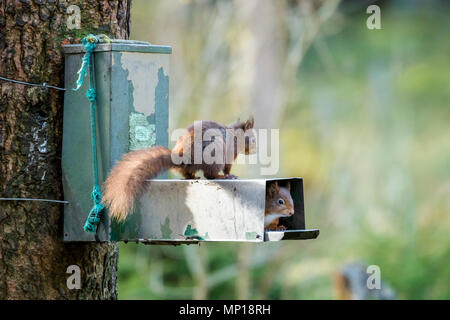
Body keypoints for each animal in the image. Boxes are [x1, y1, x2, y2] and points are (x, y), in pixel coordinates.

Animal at [103, 117, 256, 220]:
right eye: (253, 139)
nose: (255, 151)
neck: (235, 136)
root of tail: (185, 158)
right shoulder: (230, 152)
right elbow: (227, 167)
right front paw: (230, 175)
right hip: (216, 150)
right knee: (209, 174)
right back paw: (219, 176)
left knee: (188, 173)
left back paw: (193, 177)